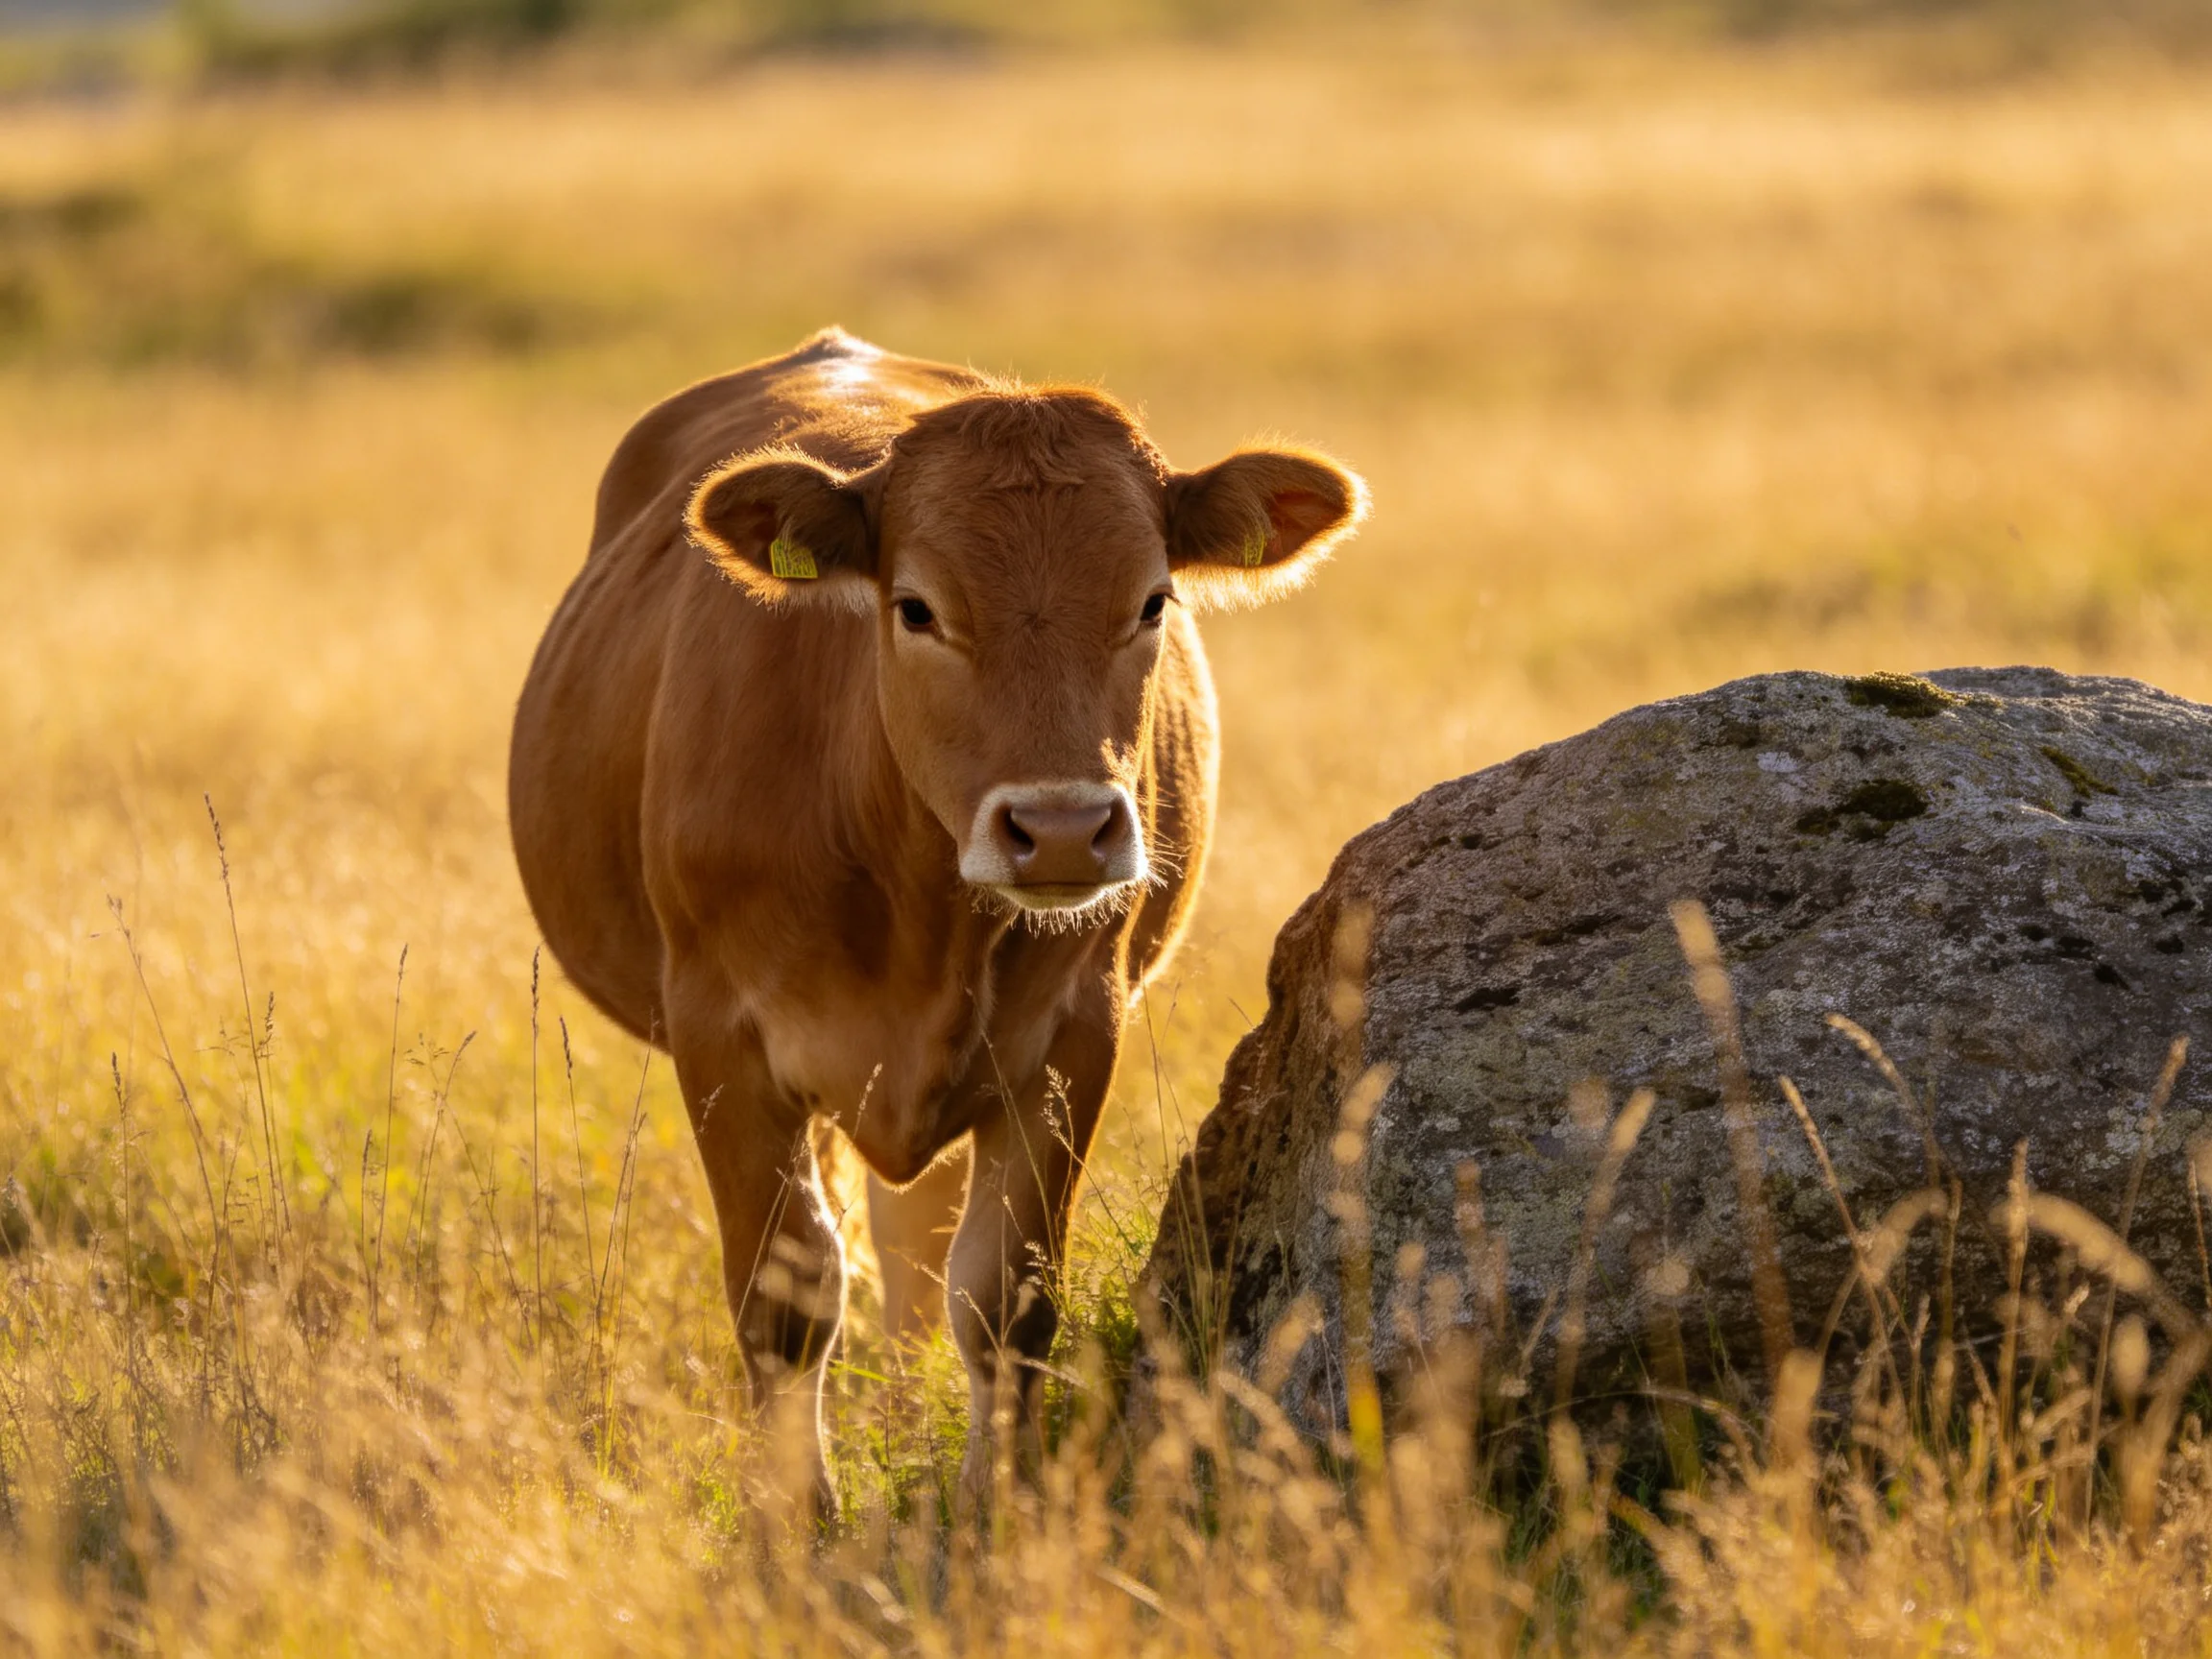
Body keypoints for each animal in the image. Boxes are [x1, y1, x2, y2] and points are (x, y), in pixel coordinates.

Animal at [508, 328, 1366, 1498]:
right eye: (916, 607)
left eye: (1152, 601)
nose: (1061, 829)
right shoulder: (720, 1037)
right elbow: (785, 1303)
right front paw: (798, 1522)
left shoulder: (1070, 1035)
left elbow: (1003, 1297)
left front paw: (995, 1503)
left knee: (916, 1252)